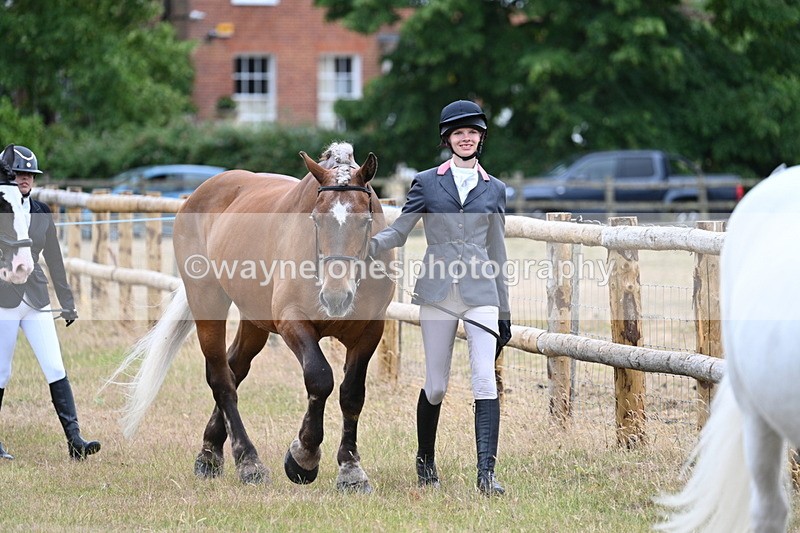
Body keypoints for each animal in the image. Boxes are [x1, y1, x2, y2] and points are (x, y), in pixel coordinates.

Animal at [109, 142, 394, 492]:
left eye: (365, 220)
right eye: (315, 219)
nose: (335, 296)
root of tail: (200, 192)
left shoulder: (370, 331)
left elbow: (352, 394)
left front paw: (351, 470)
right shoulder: (291, 321)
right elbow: (320, 377)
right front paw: (303, 456)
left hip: (253, 321)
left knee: (235, 369)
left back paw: (210, 453)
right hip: (208, 301)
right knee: (221, 379)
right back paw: (248, 462)